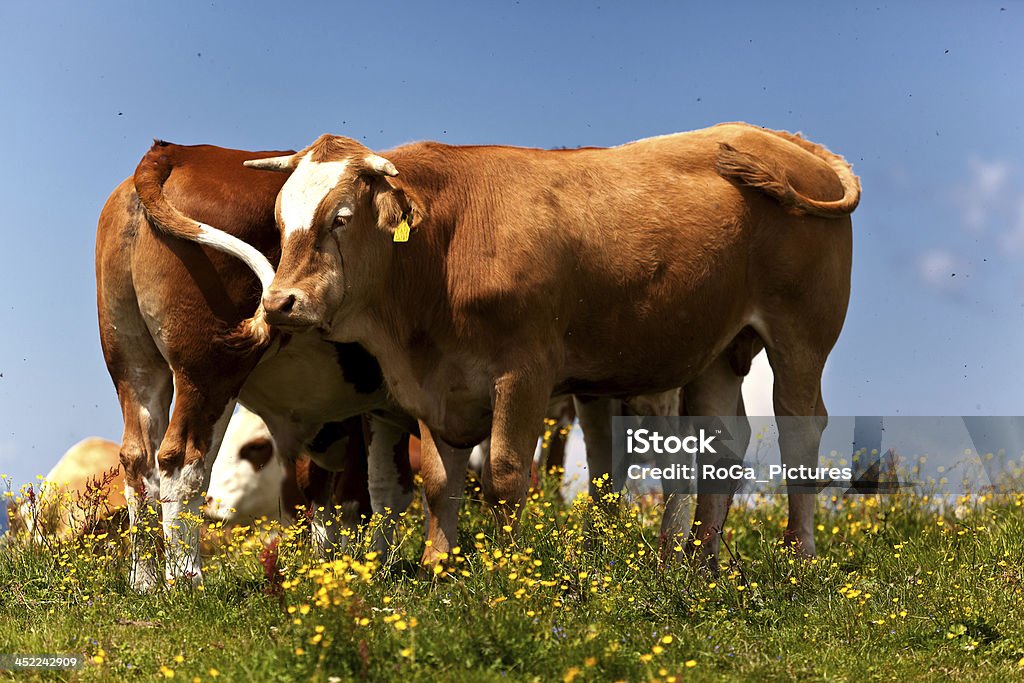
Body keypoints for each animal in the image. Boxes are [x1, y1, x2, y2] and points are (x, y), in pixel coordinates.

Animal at [235, 121, 860, 565]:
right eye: (280, 218)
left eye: (340, 217)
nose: (280, 302)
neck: (445, 246)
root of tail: (777, 137)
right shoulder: (437, 387)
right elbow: (440, 481)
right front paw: (438, 567)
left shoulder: (525, 374)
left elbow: (508, 476)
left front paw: (509, 570)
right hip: (720, 348)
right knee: (722, 441)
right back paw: (697, 562)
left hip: (801, 337)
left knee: (800, 430)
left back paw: (799, 557)